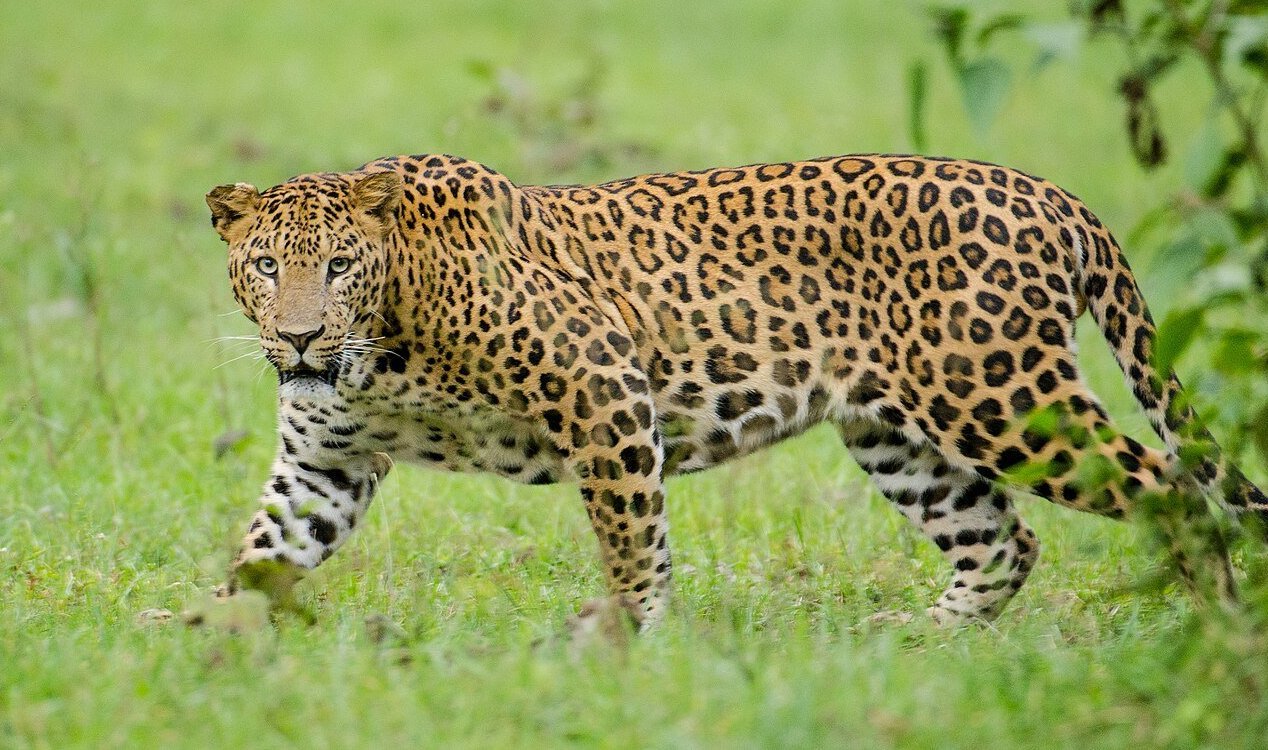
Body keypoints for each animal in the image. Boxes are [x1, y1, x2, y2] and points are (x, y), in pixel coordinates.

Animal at [205, 153, 1268, 629]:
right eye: (266, 266)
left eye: (339, 265)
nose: (299, 335)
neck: (381, 349)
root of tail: (1052, 194)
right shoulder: (325, 461)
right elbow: (264, 549)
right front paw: (201, 647)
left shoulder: (604, 388)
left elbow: (631, 540)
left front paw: (626, 642)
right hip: (897, 434)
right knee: (1003, 539)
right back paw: (920, 643)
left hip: (1000, 397)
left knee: (1172, 490)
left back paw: (1219, 630)